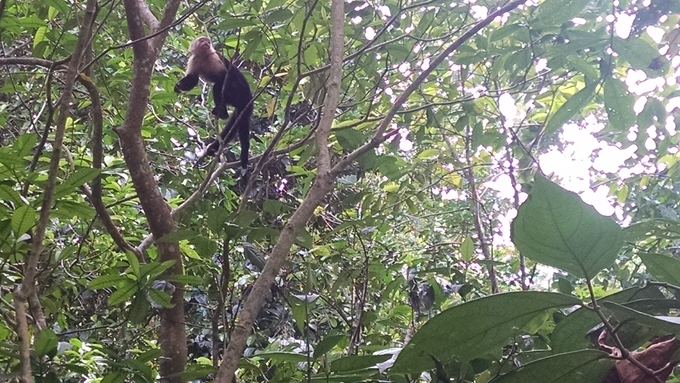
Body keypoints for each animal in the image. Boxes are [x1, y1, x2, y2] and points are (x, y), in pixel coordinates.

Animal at [174, 35, 254, 176]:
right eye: (202, 40)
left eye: (208, 41)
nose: (206, 43)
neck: (204, 56)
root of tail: (248, 97)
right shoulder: (194, 60)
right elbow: (193, 79)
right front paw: (178, 86)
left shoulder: (214, 56)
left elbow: (223, 75)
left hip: (239, 92)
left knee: (219, 85)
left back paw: (222, 113)